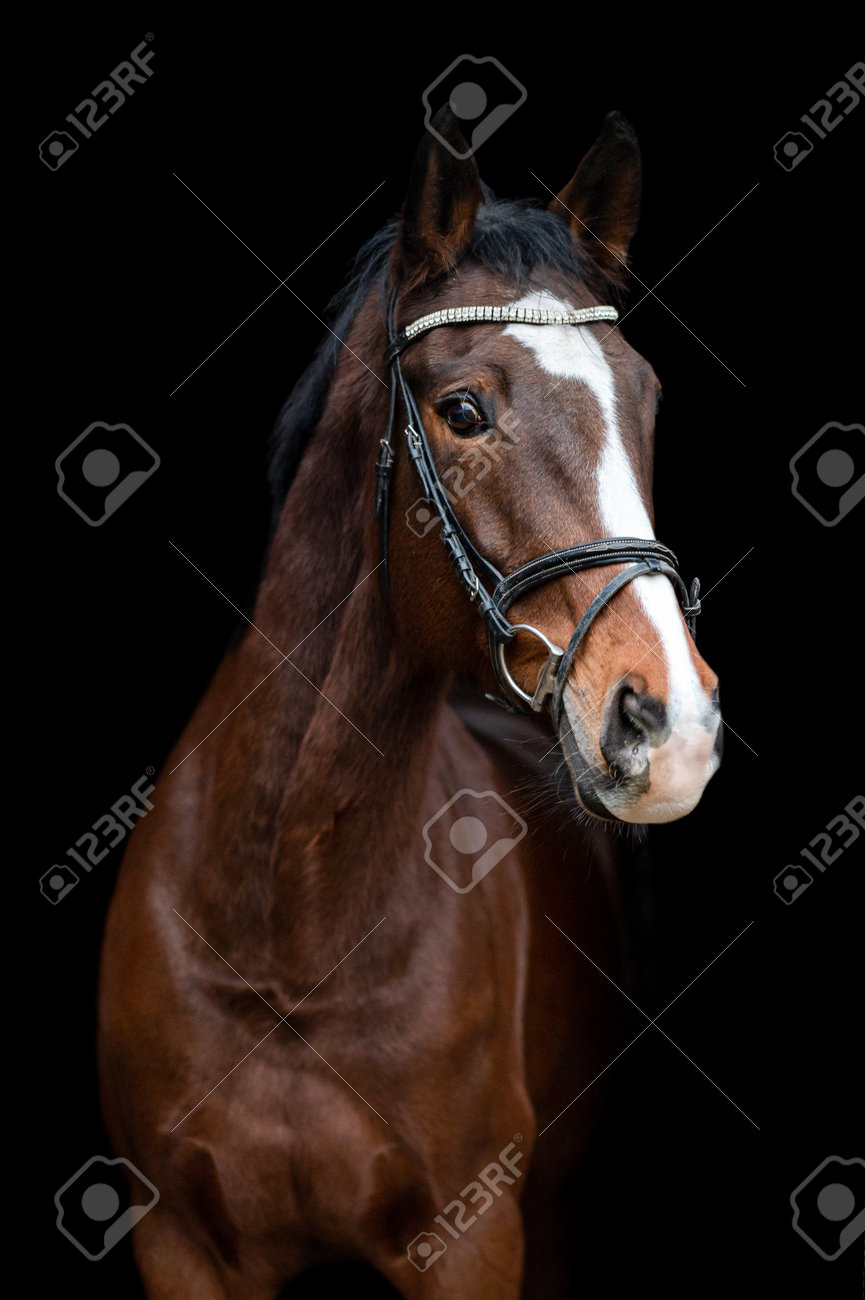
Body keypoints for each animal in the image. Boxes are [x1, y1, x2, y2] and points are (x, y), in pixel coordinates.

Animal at [99, 106, 723, 1294]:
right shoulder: (182, 1243)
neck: (286, 927)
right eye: (463, 410)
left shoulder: (472, 1238)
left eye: (650, 399)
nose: (670, 725)